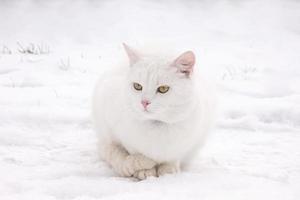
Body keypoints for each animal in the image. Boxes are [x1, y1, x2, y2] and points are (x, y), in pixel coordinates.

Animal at [92, 43, 216, 180]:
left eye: (163, 89)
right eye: (137, 86)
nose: (144, 102)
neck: (156, 126)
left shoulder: (184, 144)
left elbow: (172, 158)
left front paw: (168, 170)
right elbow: (136, 154)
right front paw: (145, 171)